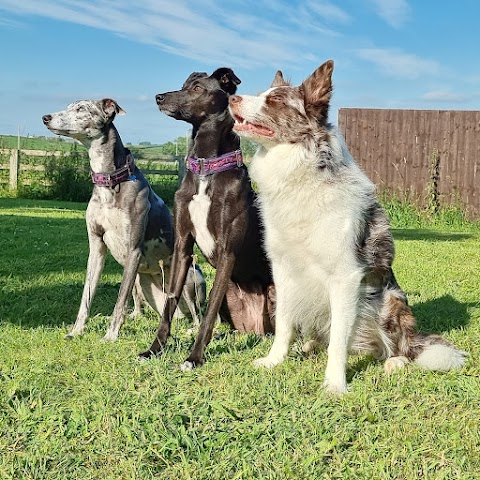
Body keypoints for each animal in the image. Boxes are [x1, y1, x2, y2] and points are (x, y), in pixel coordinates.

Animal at [42, 99, 205, 342]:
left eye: (81, 108)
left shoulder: (133, 250)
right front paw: (76, 331)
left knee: (198, 316)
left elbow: (120, 300)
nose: (46, 117)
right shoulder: (96, 248)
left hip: (188, 280)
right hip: (143, 284)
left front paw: (110, 336)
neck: (110, 182)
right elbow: (86, 297)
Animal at [139, 67, 274, 370]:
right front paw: (154, 349)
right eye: (183, 85)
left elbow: (209, 307)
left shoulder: (227, 251)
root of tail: (256, 329)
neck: (205, 170)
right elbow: (170, 300)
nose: (159, 97)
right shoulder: (182, 246)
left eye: (198, 88)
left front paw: (194, 357)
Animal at [229, 61, 464, 394]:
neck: (302, 175)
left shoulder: (345, 277)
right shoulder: (283, 271)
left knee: (399, 347)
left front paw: (335, 385)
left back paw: (394, 362)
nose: (231, 98)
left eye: (274, 100)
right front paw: (274, 361)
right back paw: (310, 346)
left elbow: (339, 342)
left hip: (390, 301)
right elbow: (284, 324)